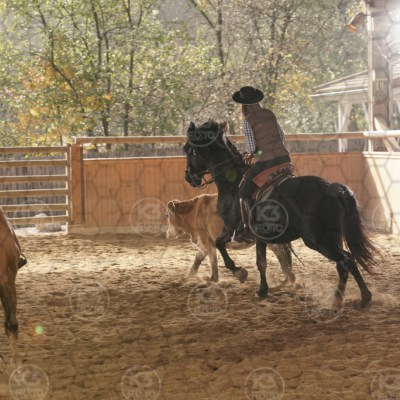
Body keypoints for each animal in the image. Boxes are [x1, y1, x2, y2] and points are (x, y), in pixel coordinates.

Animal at [166, 194, 295, 284]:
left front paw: (214, 279)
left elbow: (213, 260)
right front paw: (188, 277)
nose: (167, 234)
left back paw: (289, 278)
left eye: (167, 215)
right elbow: (198, 259)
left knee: (279, 251)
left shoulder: (207, 242)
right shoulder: (204, 244)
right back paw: (288, 277)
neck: (195, 213)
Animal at [183, 120, 379, 309]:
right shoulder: (261, 237)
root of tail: (331, 188)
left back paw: (363, 298)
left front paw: (242, 275)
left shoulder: (230, 227)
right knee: (343, 265)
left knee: (347, 261)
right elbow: (262, 262)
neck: (232, 182)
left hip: (319, 241)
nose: (188, 178)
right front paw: (263, 288)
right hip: (331, 238)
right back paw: (339, 299)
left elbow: (223, 247)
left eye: (188, 150)